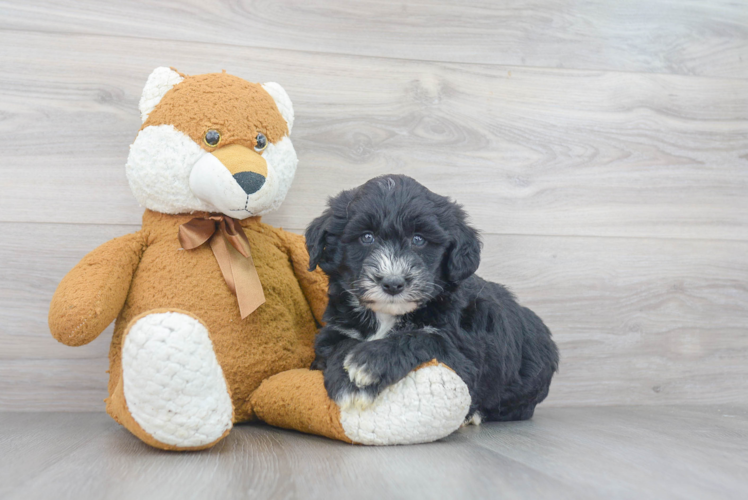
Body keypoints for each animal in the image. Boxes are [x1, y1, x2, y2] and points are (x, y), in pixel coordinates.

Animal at [306, 176, 560, 422]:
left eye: (419, 240)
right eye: (366, 237)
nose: (393, 283)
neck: (388, 315)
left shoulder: (465, 359)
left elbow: (425, 338)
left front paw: (369, 362)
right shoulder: (335, 331)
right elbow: (341, 344)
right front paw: (346, 379)